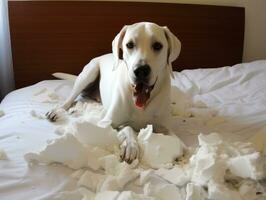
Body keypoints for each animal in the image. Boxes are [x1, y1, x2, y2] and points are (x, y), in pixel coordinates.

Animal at [46, 21, 182, 163]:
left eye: (157, 46)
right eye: (129, 45)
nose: (140, 70)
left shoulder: (164, 127)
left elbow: (177, 140)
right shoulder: (106, 123)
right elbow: (128, 127)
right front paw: (130, 146)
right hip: (89, 73)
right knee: (70, 98)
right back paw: (58, 110)